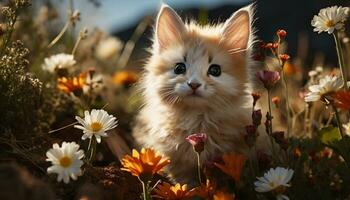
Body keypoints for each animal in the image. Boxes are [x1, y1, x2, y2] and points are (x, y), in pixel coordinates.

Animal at [134, 3, 258, 184]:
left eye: (215, 70)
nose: (194, 84)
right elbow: (186, 184)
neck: (197, 120)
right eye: (179, 68)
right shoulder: (178, 166)